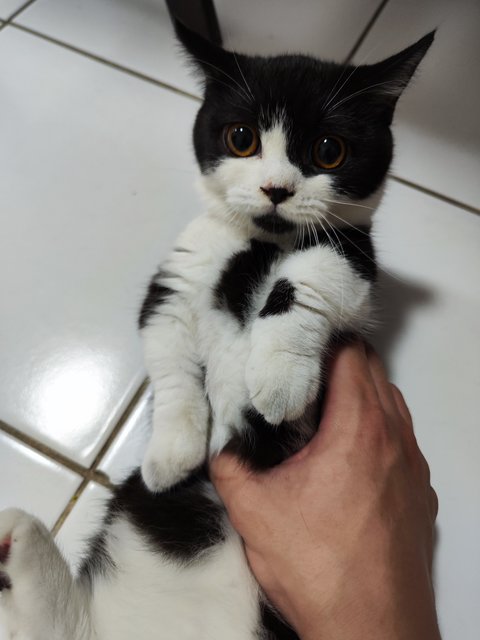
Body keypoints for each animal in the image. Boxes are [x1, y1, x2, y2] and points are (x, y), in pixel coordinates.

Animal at [0, 20, 434, 640]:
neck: (258, 246)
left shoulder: (354, 266)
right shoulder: (174, 280)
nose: (277, 188)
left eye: (329, 150)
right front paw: (171, 452)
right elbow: (169, 357)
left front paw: (277, 379)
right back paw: (23, 545)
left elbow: (310, 278)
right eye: (241, 138)